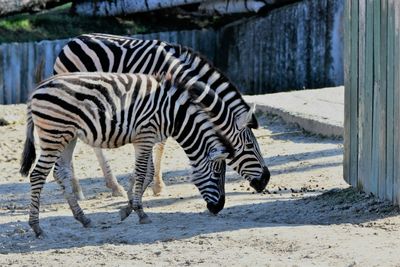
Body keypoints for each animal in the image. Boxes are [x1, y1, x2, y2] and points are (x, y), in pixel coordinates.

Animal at [21, 71, 234, 239]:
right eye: (217, 175)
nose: (218, 208)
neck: (173, 114)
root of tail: (36, 89)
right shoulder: (145, 136)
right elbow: (141, 173)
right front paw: (140, 212)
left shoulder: (148, 139)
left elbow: (147, 174)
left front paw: (127, 208)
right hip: (54, 134)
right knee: (38, 175)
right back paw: (37, 227)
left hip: (68, 136)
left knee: (61, 173)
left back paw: (83, 218)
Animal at [54, 32, 270, 198]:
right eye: (249, 146)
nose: (266, 180)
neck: (176, 72)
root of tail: (72, 41)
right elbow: (156, 142)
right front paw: (144, 184)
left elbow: (160, 144)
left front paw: (155, 185)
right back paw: (87, 189)